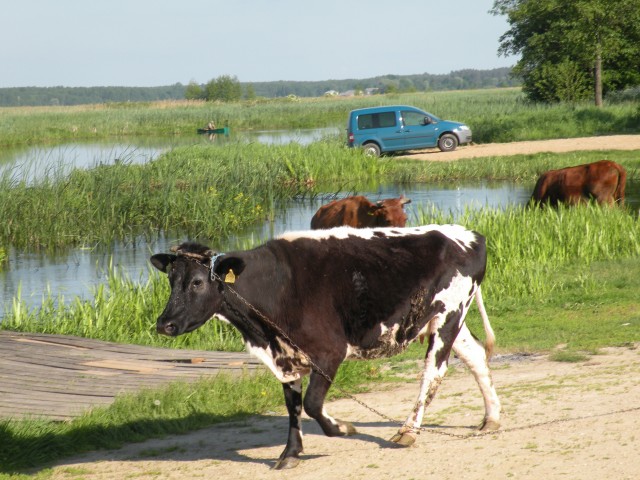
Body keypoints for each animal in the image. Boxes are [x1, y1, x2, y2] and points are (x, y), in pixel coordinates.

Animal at [150, 225, 500, 468]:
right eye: (171, 280)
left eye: (197, 282)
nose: (164, 324)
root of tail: (469, 234)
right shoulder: (286, 354)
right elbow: (292, 406)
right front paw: (290, 453)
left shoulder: (329, 352)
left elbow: (312, 403)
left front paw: (342, 428)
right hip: (447, 321)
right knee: (476, 356)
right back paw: (491, 419)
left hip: (447, 316)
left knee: (433, 372)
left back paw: (408, 431)